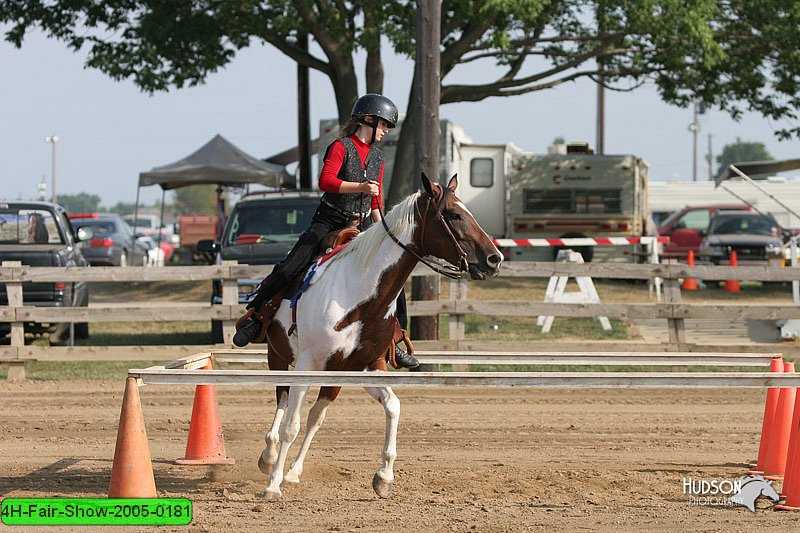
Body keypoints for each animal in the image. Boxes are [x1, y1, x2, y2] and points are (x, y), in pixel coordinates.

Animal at [260, 174, 504, 498]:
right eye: (453, 214)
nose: (494, 258)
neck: (357, 294)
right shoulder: (306, 365)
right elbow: (291, 425)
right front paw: (272, 485)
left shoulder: (366, 366)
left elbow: (393, 406)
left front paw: (384, 477)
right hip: (277, 355)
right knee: (283, 402)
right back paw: (269, 458)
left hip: (334, 376)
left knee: (315, 416)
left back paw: (293, 472)